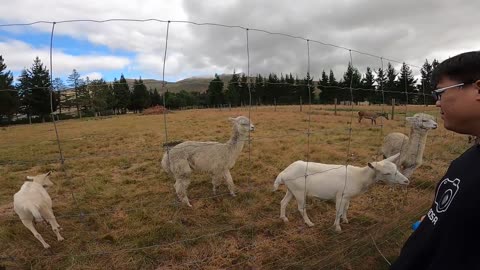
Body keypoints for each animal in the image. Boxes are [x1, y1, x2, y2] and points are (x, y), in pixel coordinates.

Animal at [274, 154, 408, 232]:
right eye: (387, 173)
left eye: (396, 168)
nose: (406, 181)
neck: (359, 177)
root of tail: (283, 174)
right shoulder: (341, 195)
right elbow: (338, 211)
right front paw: (337, 227)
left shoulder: (347, 196)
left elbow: (346, 208)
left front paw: (345, 220)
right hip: (299, 191)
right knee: (301, 208)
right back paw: (309, 223)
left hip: (291, 189)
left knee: (283, 202)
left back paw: (284, 218)